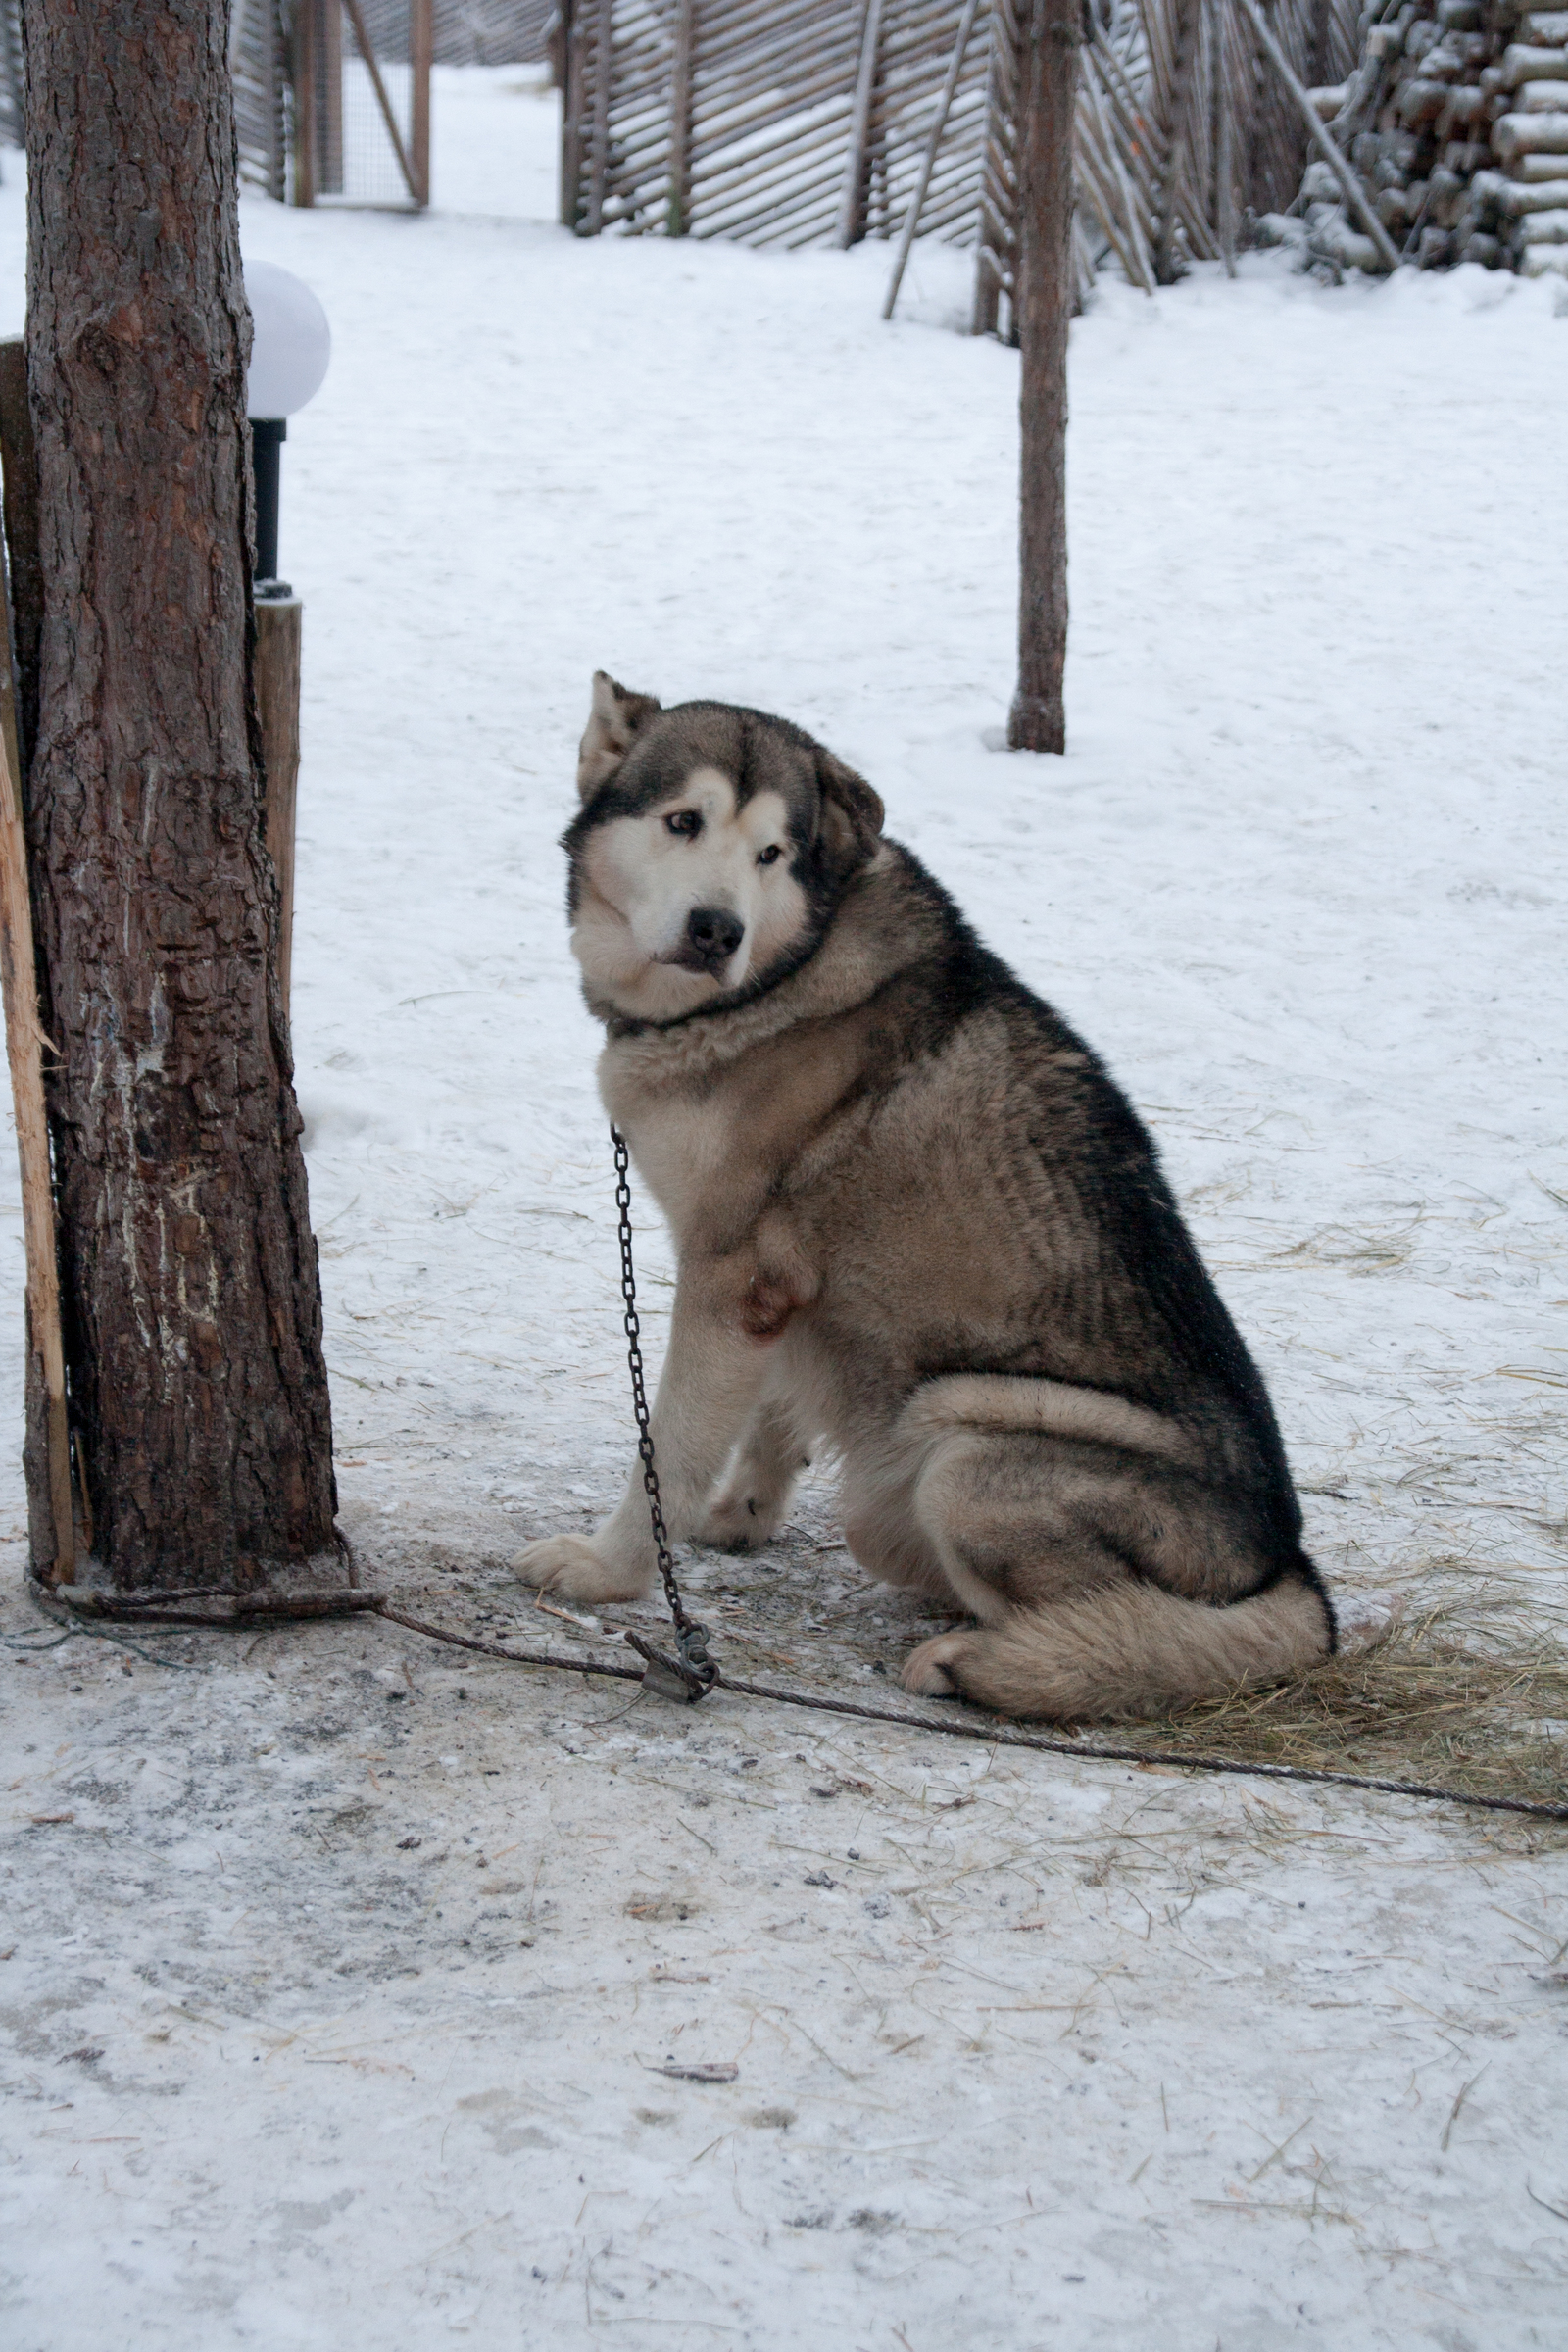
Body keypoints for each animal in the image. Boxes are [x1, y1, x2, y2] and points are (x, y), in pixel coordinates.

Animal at [516, 672, 1335, 1721]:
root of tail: (1291, 1568)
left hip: (962, 1450)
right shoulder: (781, 1296)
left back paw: (989, 1657)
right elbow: (771, 1418)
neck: (778, 980)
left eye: (772, 853)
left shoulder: (731, 1276)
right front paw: (739, 1517)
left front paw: (612, 1567)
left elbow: (672, 1448)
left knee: (1112, 1618)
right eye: (683, 822)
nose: (716, 930)